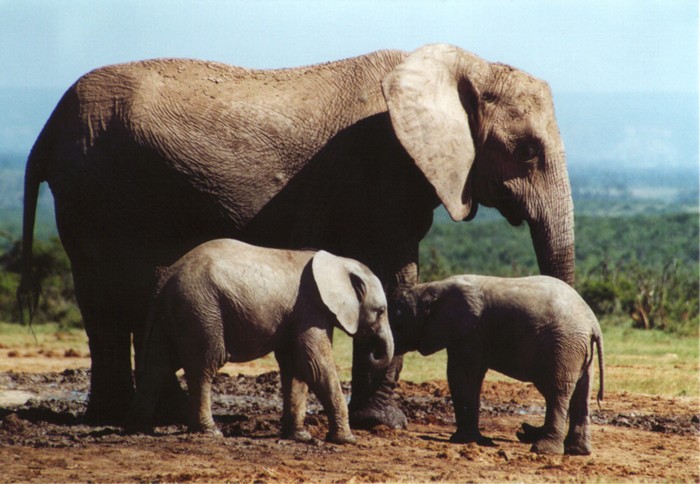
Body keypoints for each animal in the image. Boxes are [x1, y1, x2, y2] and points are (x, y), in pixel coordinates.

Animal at [126, 237, 394, 442]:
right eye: (381, 311)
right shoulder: (310, 309)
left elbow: (295, 368)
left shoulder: (296, 315)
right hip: (200, 310)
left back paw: (140, 430)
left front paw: (300, 437)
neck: (339, 261)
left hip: (174, 312)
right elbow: (314, 365)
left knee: (157, 365)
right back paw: (211, 432)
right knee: (204, 365)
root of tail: (167, 277)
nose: (374, 351)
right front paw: (346, 440)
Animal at [392, 274, 604, 456]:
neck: (434, 286)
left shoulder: (471, 332)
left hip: (563, 345)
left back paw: (543, 450)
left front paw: (461, 440)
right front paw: (475, 440)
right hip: (579, 349)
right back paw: (578, 451)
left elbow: (461, 375)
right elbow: (473, 376)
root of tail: (593, 323)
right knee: (582, 392)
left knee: (557, 391)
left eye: (398, 324)